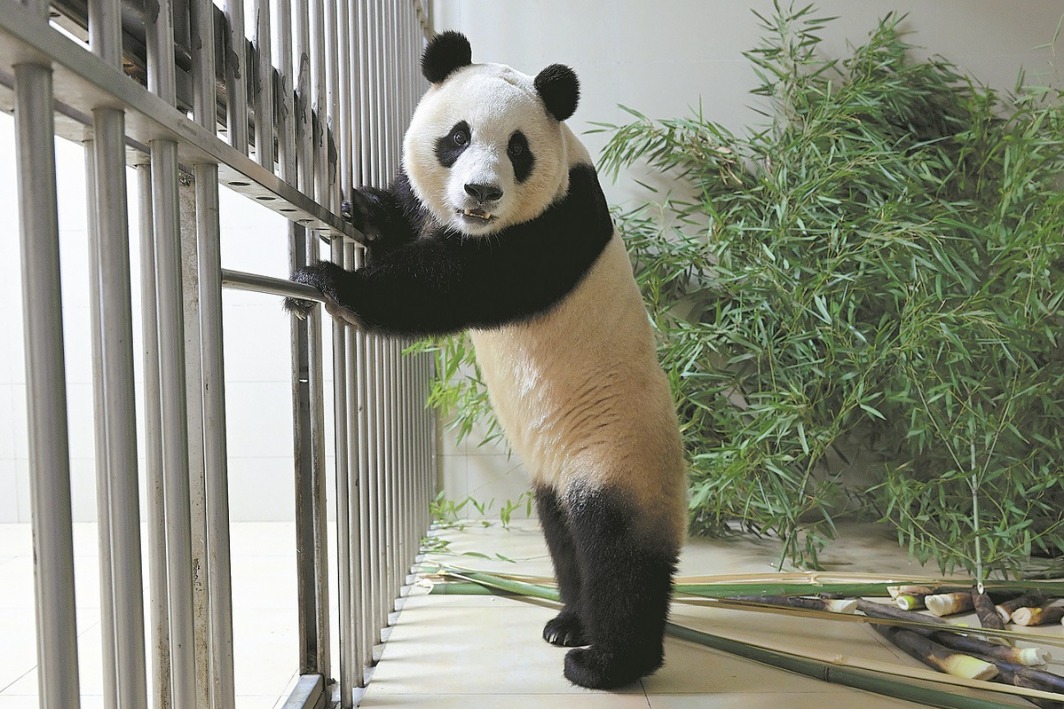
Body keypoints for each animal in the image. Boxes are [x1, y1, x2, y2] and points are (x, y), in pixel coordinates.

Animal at [287, 31, 687, 689]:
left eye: (517, 149)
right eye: (458, 137)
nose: (481, 192)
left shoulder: (556, 226)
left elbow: (455, 285)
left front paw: (330, 282)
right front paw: (370, 207)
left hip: (619, 451)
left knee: (618, 555)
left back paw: (603, 662)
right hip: (558, 472)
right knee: (564, 540)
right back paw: (568, 623)